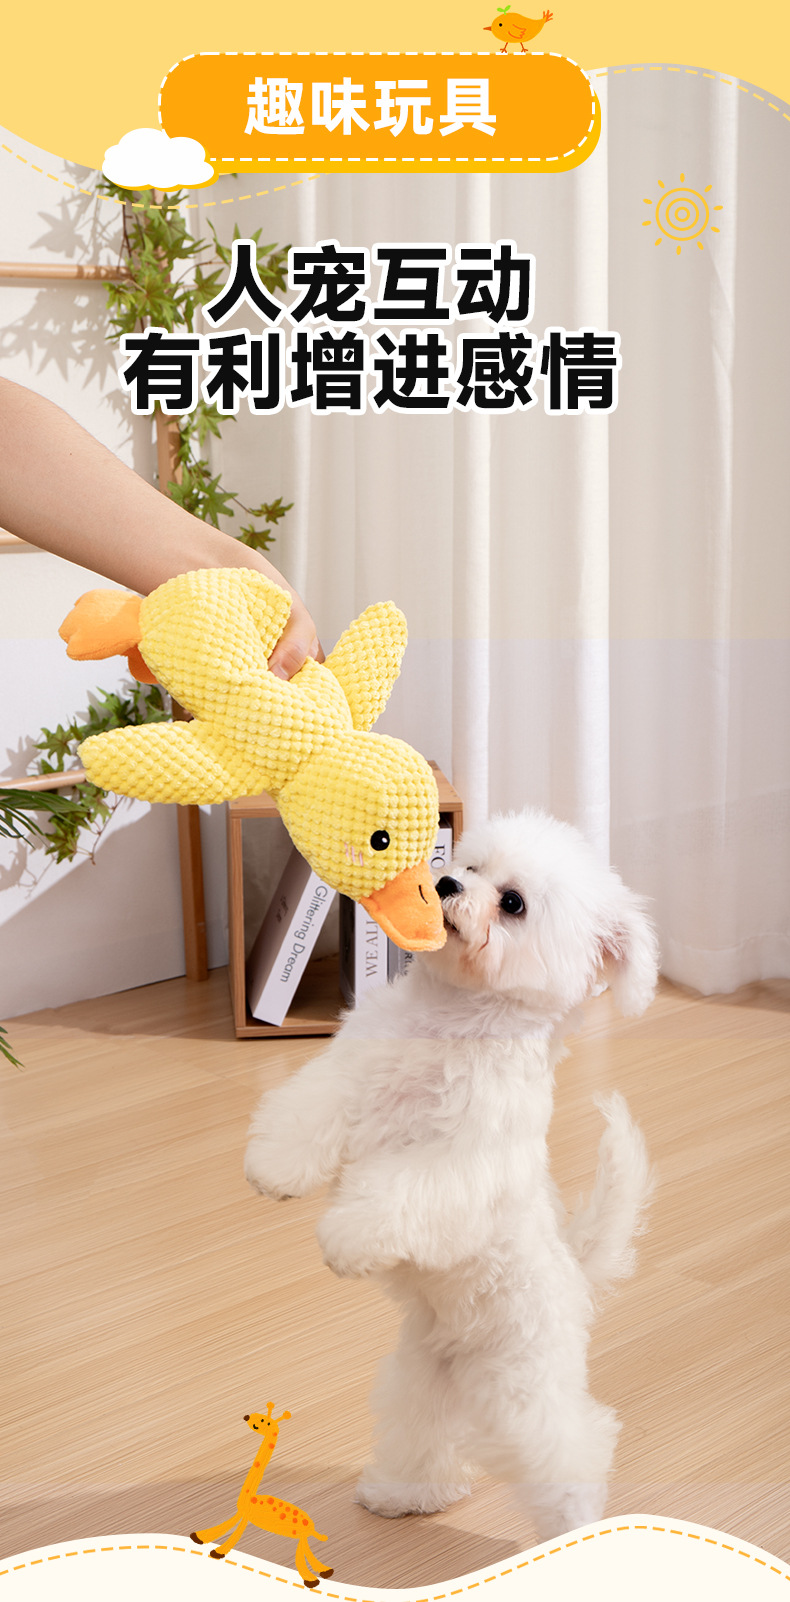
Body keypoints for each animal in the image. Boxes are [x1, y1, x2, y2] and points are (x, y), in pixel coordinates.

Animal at [245, 809, 658, 1543]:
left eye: (513, 902)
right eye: (467, 865)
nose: (442, 882)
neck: (450, 1021)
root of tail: (575, 1278)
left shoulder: (457, 1167)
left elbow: (392, 1196)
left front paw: (344, 1243)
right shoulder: (350, 1078)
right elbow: (306, 1116)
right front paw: (274, 1172)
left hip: (521, 1387)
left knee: (574, 1447)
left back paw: (573, 1531)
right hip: (424, 1376)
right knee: (428, 1436)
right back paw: (401, 1493)